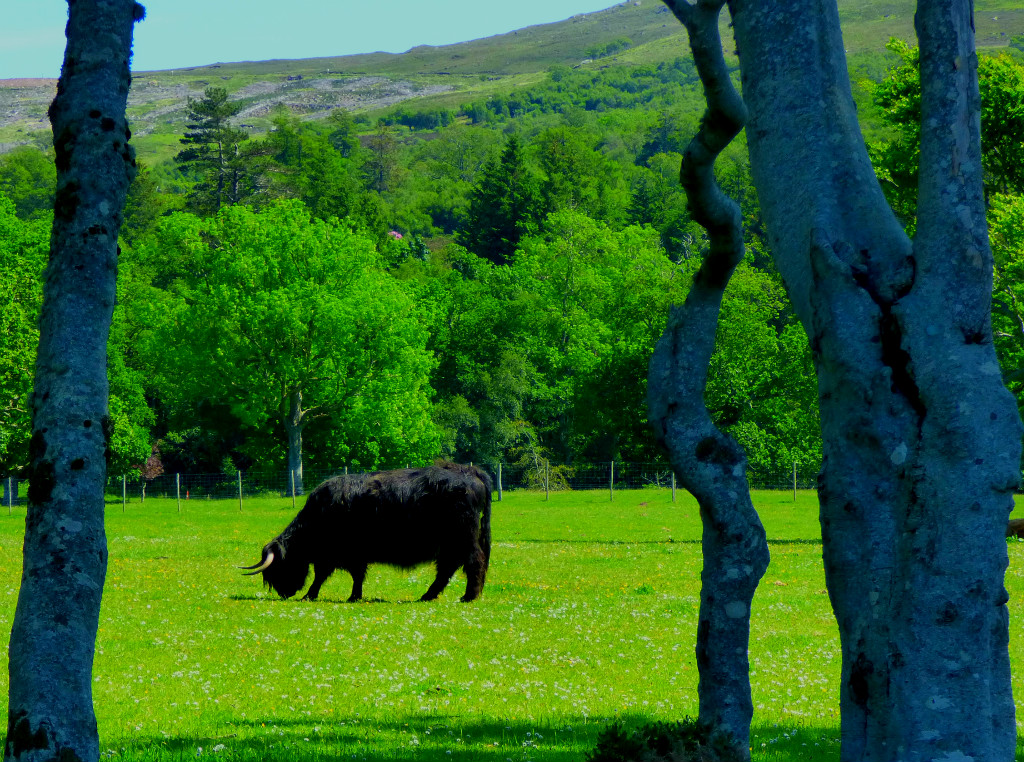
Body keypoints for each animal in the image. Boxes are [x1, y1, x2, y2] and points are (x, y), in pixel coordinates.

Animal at [240, 462, 492, 603]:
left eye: (278, 568)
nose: (284, 592)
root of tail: (469, 472)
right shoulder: (343, 555)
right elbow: (345, 575)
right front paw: (351, 595)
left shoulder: (343, 554)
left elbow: (334, 575)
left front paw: (315, 595)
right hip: (450, 543)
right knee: (447, 568)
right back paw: (428, 595)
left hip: (463, 538)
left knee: (473, 562)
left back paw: (469, 596)